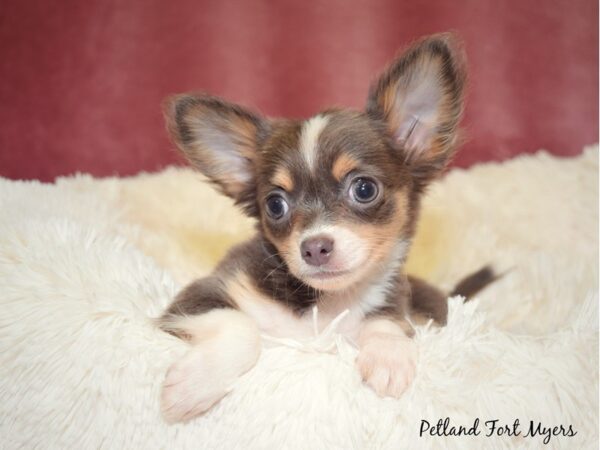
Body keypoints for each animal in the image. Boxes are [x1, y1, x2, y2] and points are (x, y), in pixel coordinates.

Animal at [157, 34, 494, 422]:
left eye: (364, 189)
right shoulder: (198, 296)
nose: (314, 247)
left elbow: (389, 320)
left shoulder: (394, 305)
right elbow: (242, 328)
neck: (325, 305)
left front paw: (389, 357)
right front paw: (194, 384)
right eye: (275, 205)